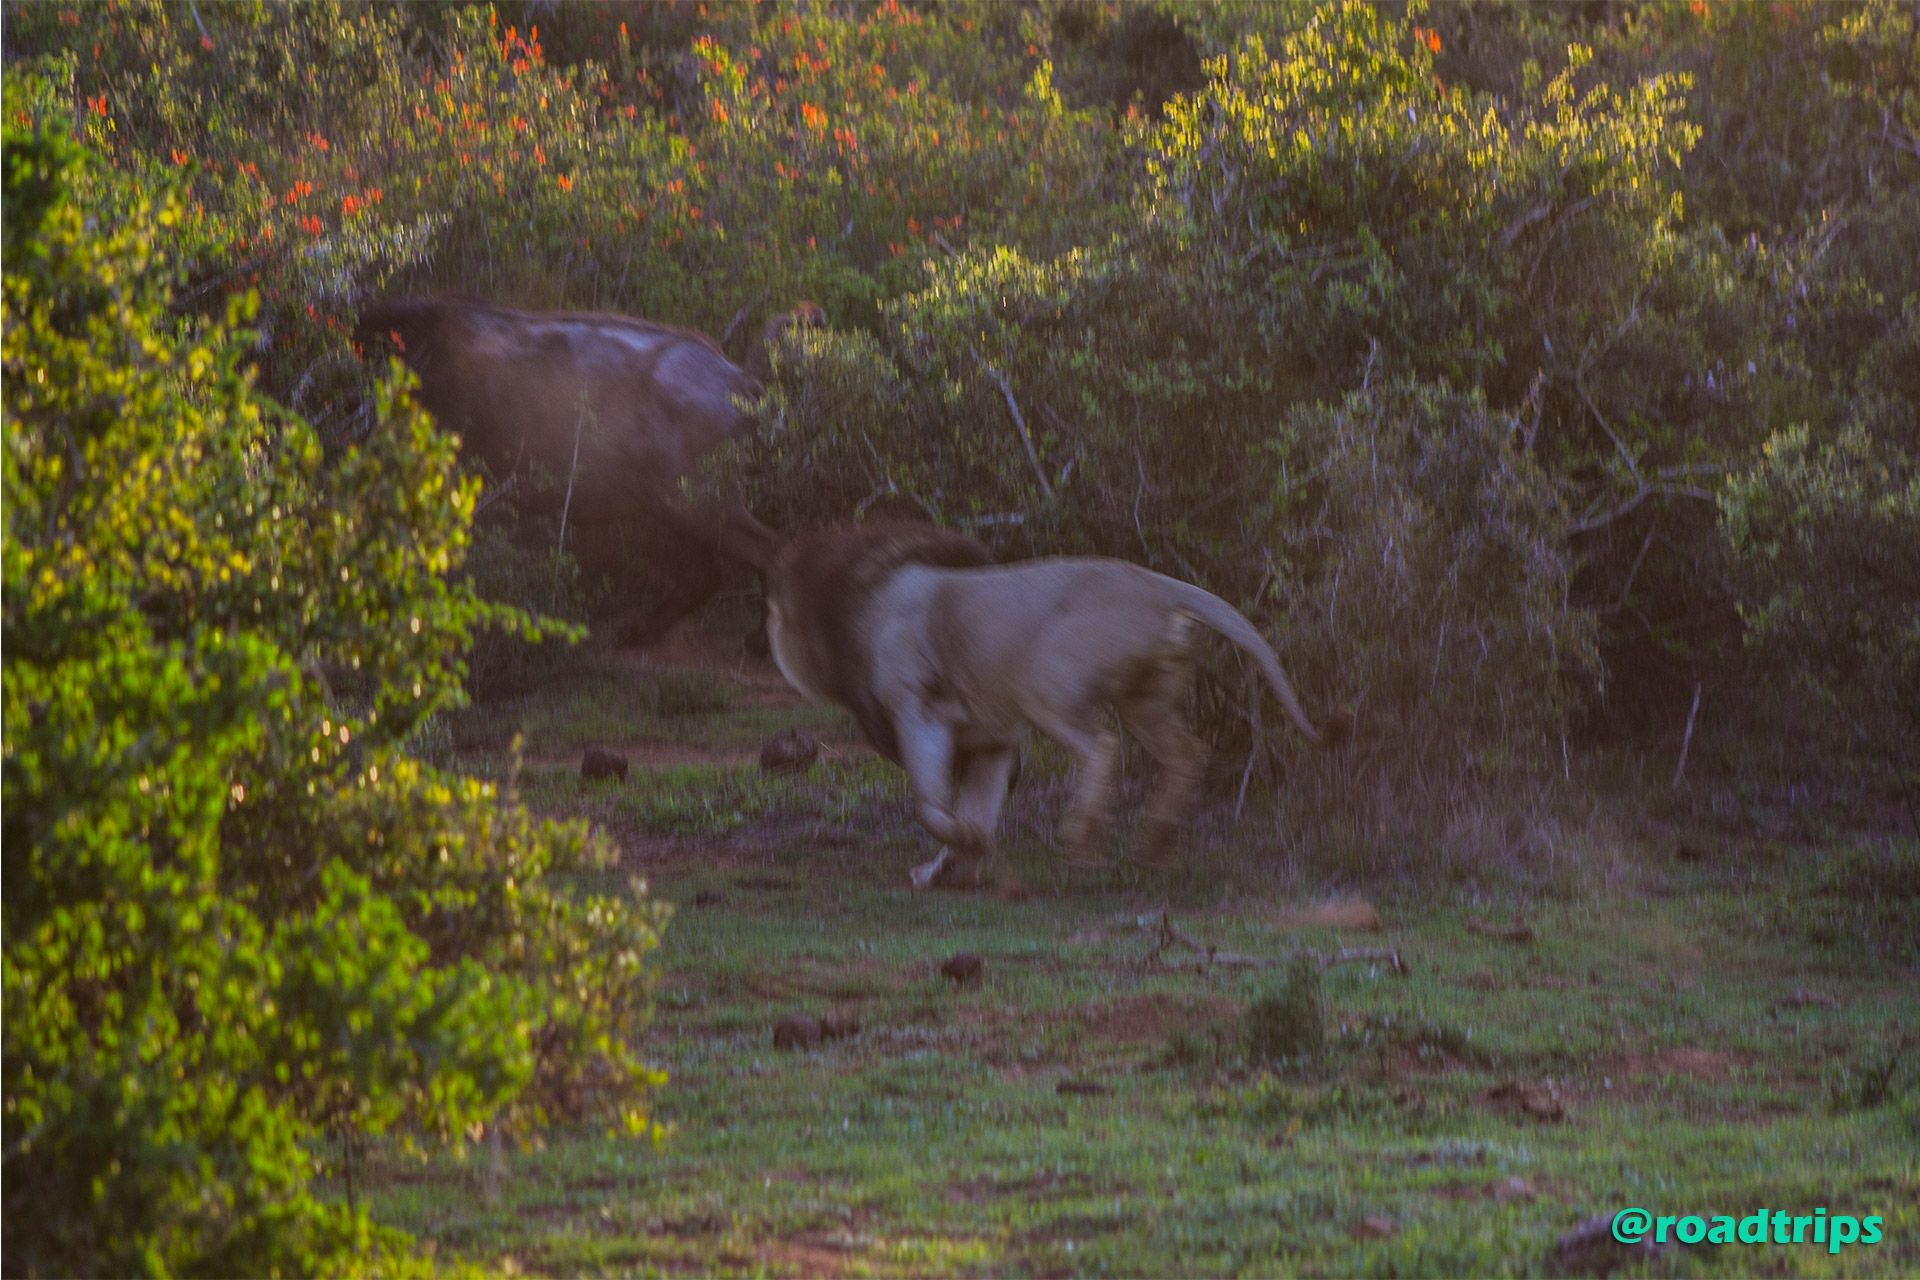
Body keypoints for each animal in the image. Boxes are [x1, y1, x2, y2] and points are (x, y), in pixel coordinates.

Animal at [760, 521, 1336, 890]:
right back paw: (1152, 849)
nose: (766, 627)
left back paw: (1081, 844)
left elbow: (931, 804)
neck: (864, 598)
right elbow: (975, 808)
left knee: (1102, 748)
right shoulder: (991, 741)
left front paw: (960, 854)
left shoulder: (917, 709)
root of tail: (1156, 586)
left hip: (1046, 690)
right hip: (1144, 699)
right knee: (1187, 753)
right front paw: (960, 865)